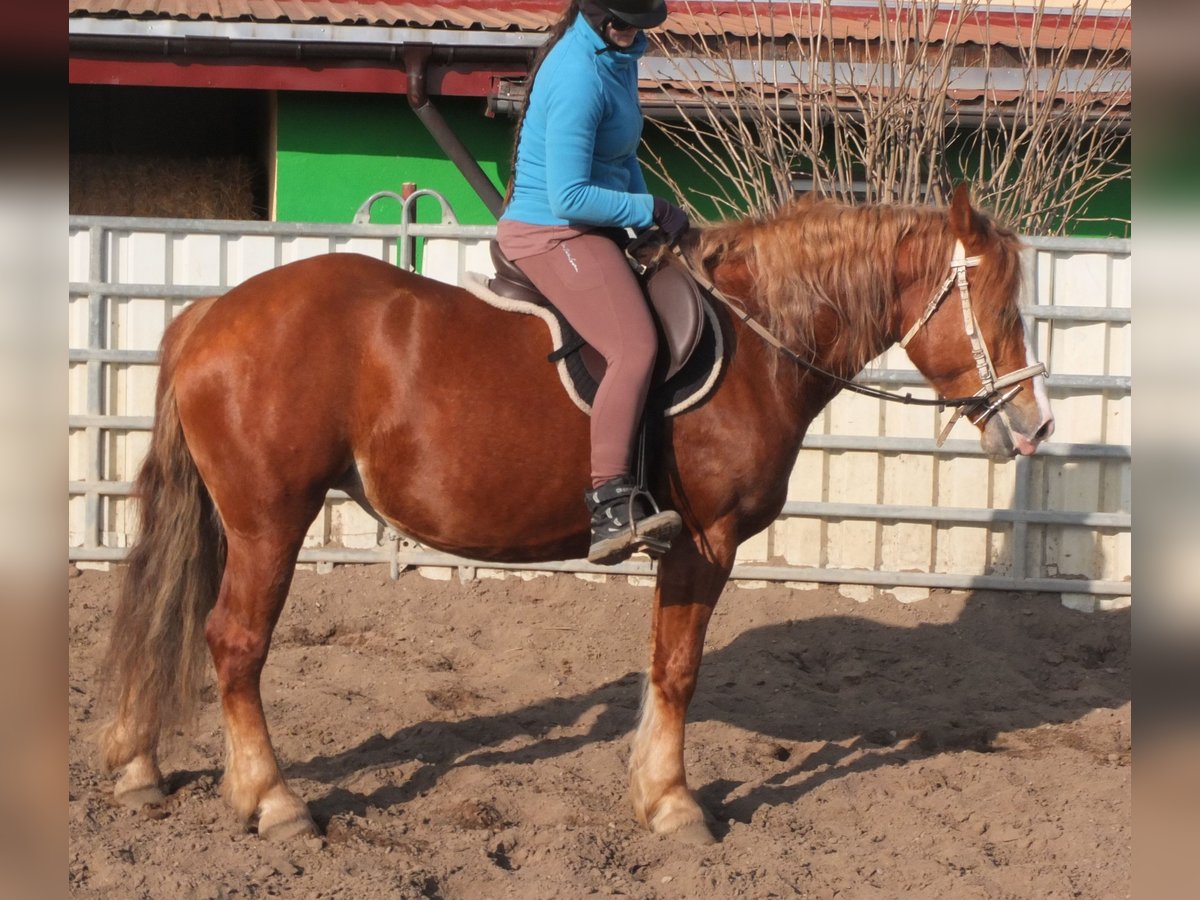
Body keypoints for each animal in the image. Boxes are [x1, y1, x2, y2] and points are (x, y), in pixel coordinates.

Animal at [103, 187, 1056, 849]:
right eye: (993, 305)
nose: (1035, 426)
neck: (755, 341)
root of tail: (210, 313)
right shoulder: (704, 544)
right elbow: (678, 670)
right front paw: (674, 806)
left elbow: (660, 666)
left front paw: (652, 791)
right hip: (271, 522)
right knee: (234, 642)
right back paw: (273, 801)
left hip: (232, 520)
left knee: (171, 613)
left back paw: (140, 766)